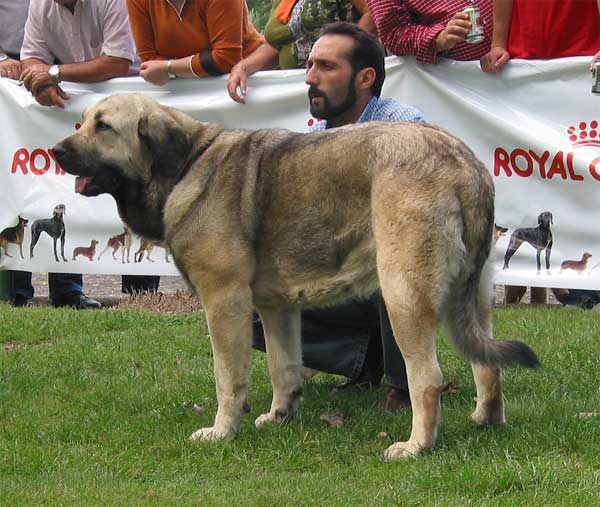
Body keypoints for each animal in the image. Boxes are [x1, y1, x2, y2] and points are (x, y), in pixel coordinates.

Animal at [52, 94, 540, 460]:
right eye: (83, 121)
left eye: (103, 127)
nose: (56, 151)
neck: (187, 164)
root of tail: (463, 162)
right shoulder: (276, 307)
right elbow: (282, 366)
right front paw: (279, 416)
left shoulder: (224, 302)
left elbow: (228, 378)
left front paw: (222, 431)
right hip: (472, 298)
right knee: (487, 365)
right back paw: (485, 420)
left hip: (403, 293)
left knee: (428, 379)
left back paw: (416, 445)